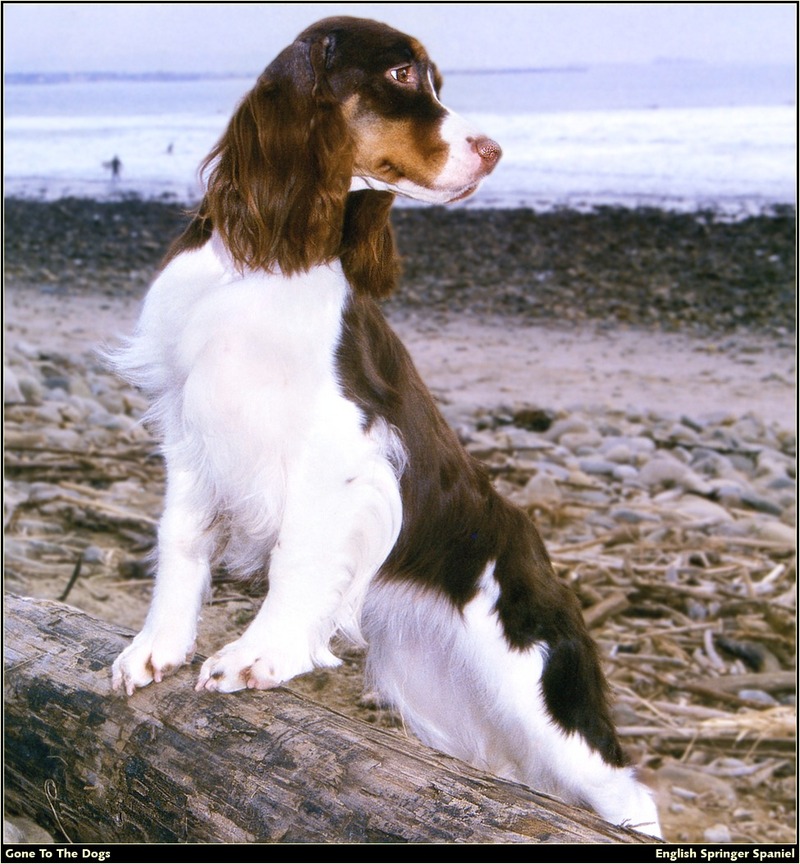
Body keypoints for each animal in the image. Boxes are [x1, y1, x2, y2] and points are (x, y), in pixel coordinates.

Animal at [112, 15, 664, 836]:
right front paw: (155, 649)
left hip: (537, 685)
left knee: (626, 789)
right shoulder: (191, 422)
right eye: (402, 75)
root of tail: (537, 549)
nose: (494, 151)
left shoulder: (338, 442)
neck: (270, 257)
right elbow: (180, 539)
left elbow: (297, 558)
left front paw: (258, 655)